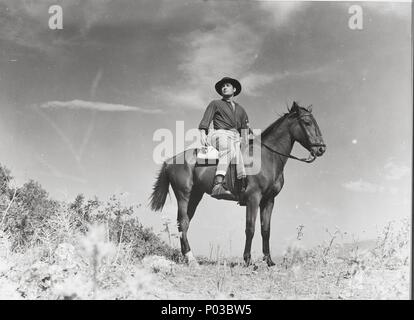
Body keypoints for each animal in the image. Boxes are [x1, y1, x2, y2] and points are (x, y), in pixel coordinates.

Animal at [149, 101, 326, 266]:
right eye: (307, 122)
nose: (321, 149)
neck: (267, 157)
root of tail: (170, 160)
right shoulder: (253, 198)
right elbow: (250, 228)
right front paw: (248, 260)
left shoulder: (269, 200)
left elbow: (266, 230)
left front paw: (268, 261)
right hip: (183, 195)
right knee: (183, 223)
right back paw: (191, 258)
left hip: (195, 195)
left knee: (184, 223)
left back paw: (186, 256)